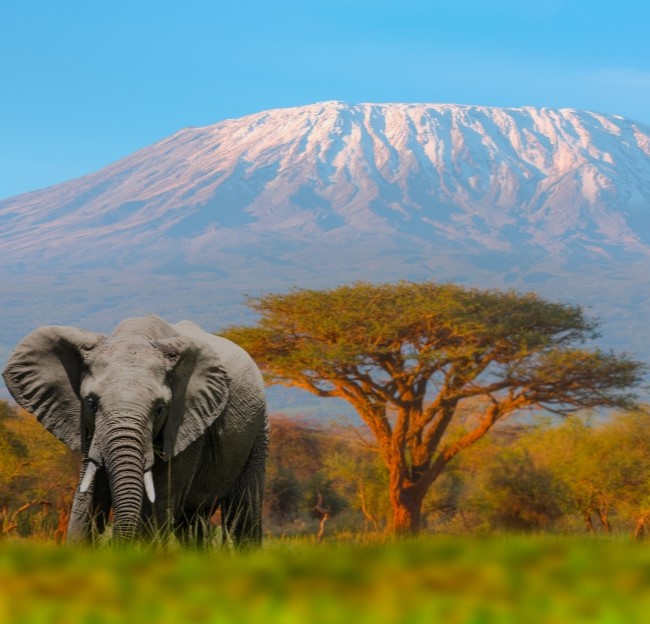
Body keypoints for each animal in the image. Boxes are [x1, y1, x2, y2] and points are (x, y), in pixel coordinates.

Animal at [1, 316, 268, 544]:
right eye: (91, 403)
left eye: (160, 409)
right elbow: (87, 503)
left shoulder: (187, 426)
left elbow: (157, 504)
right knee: (193, 524)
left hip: (259, 427)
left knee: (243, 513)